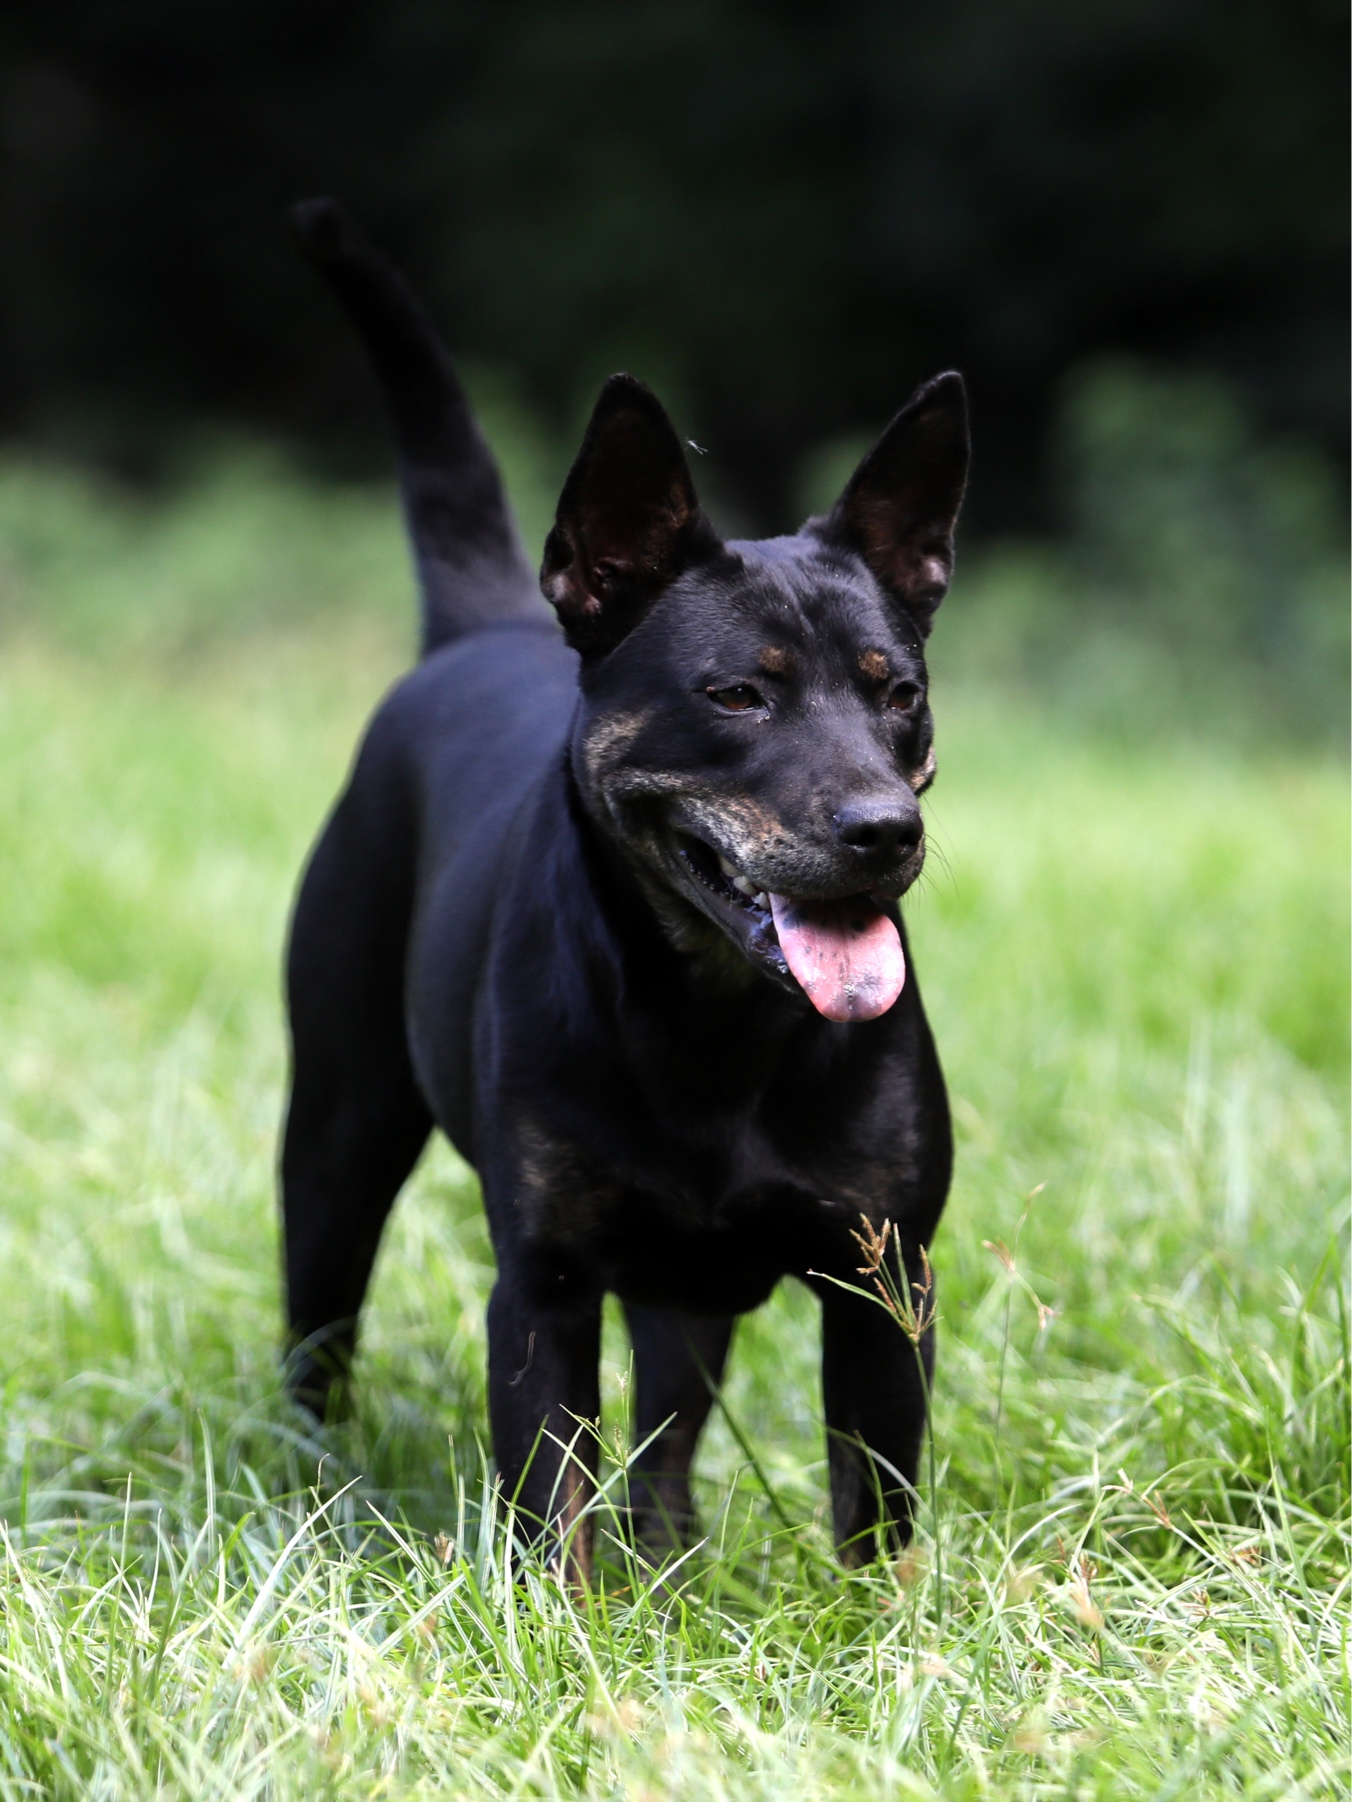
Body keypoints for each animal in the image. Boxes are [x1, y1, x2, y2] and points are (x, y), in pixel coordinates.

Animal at [286, 204, 966, 1571]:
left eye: (899, 694)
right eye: (737, 693)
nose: (886, 828)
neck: (715, 1028)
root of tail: (485, 625)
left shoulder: (881, 1277)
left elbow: (872, 1510)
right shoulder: (543, 1284)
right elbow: (550, 1509)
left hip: (681, 1282)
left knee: (667, 1431)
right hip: (334, 1131)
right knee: (315, 1332)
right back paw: (300, 1475)